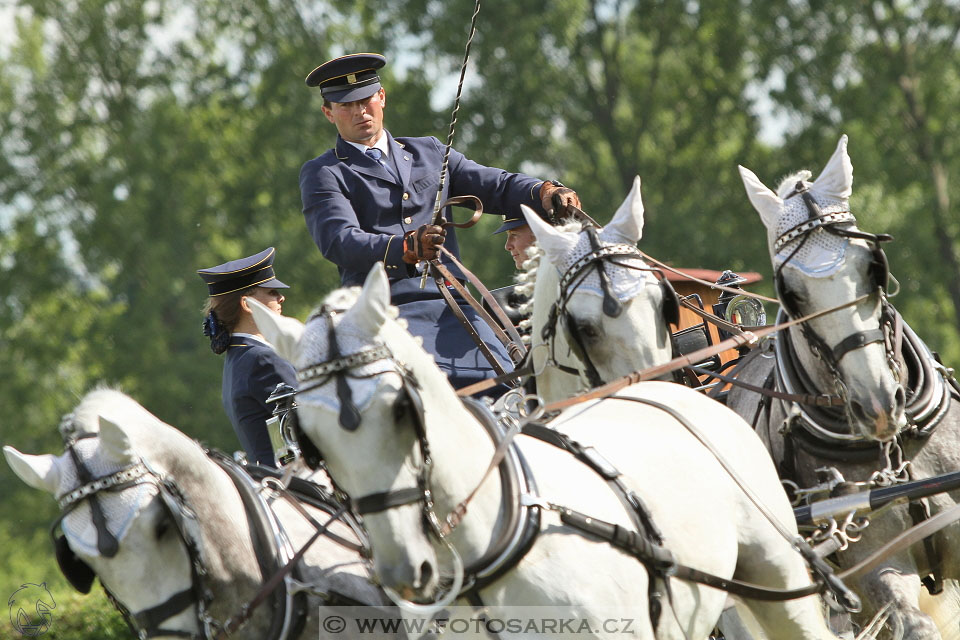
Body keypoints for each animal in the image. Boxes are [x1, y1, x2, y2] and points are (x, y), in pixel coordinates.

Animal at [728, 134, 960, 636]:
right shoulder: (874, 567)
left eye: (873, 265)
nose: (878, 405)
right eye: (791, 294)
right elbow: (915, 624)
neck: (895, 451)